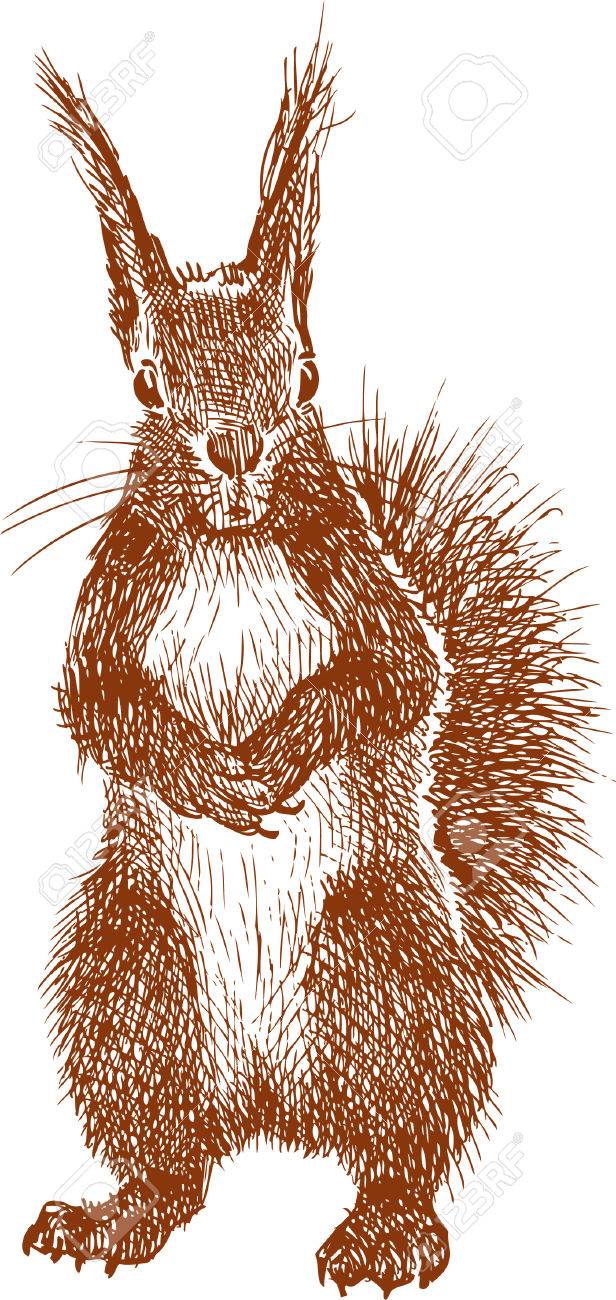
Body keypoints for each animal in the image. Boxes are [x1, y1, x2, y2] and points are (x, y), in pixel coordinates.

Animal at [21, 34, 593, 1293]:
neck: (235, 545)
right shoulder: (112, 596)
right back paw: (114, 1216)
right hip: (128, 980)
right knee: (171, 1156)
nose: (235, 447)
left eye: (308, 374)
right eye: (147, 380)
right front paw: (206, 770)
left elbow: (398, 676)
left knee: (400, 1140)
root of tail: (270, 1105)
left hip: (390, 975)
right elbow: (99, 701)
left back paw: (385, 1228)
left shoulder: (360, 584)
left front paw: (281, 743)